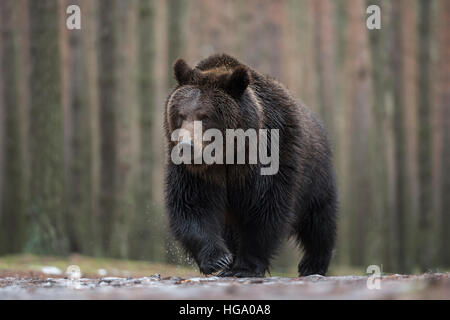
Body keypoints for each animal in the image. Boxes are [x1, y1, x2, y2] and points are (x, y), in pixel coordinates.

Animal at [163, 53, 336, 276]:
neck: (228, 155)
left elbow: (264, 209)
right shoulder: (194, 173)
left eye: (205, 116)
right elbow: (192, 204)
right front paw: (218, 260)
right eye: (181, 114)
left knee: (319, 219)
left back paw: (313, 264)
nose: (186, 146)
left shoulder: (272, 155)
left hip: (315, 175)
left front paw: (244, 267)